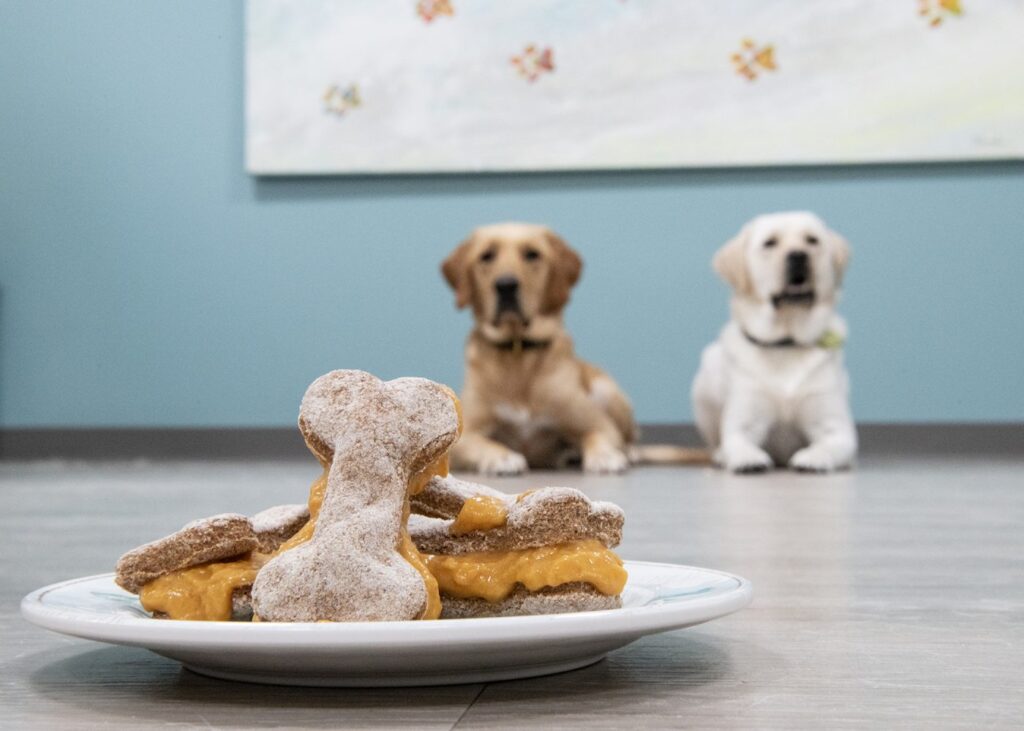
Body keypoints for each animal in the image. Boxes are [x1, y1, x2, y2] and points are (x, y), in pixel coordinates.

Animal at [444, 221, 708, 473]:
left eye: (532, 254)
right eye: (486, 256)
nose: (506, 285)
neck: (519, 355)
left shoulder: (597, 424)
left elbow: (597, 437)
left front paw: (604, 456)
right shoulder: (465, 434)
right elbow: (481, 443)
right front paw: (501, 456)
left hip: (607, 391)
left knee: (630, 437)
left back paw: (624, 453)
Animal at [696, 210, 856, 473]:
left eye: (812, 240)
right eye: (770, 243)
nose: (798, 255)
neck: (786, 343)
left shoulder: (837, 429)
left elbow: (829, 446)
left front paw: (814, 457)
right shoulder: (744, 423)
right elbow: (736, 443)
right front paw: (746, 458)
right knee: (714, 443)